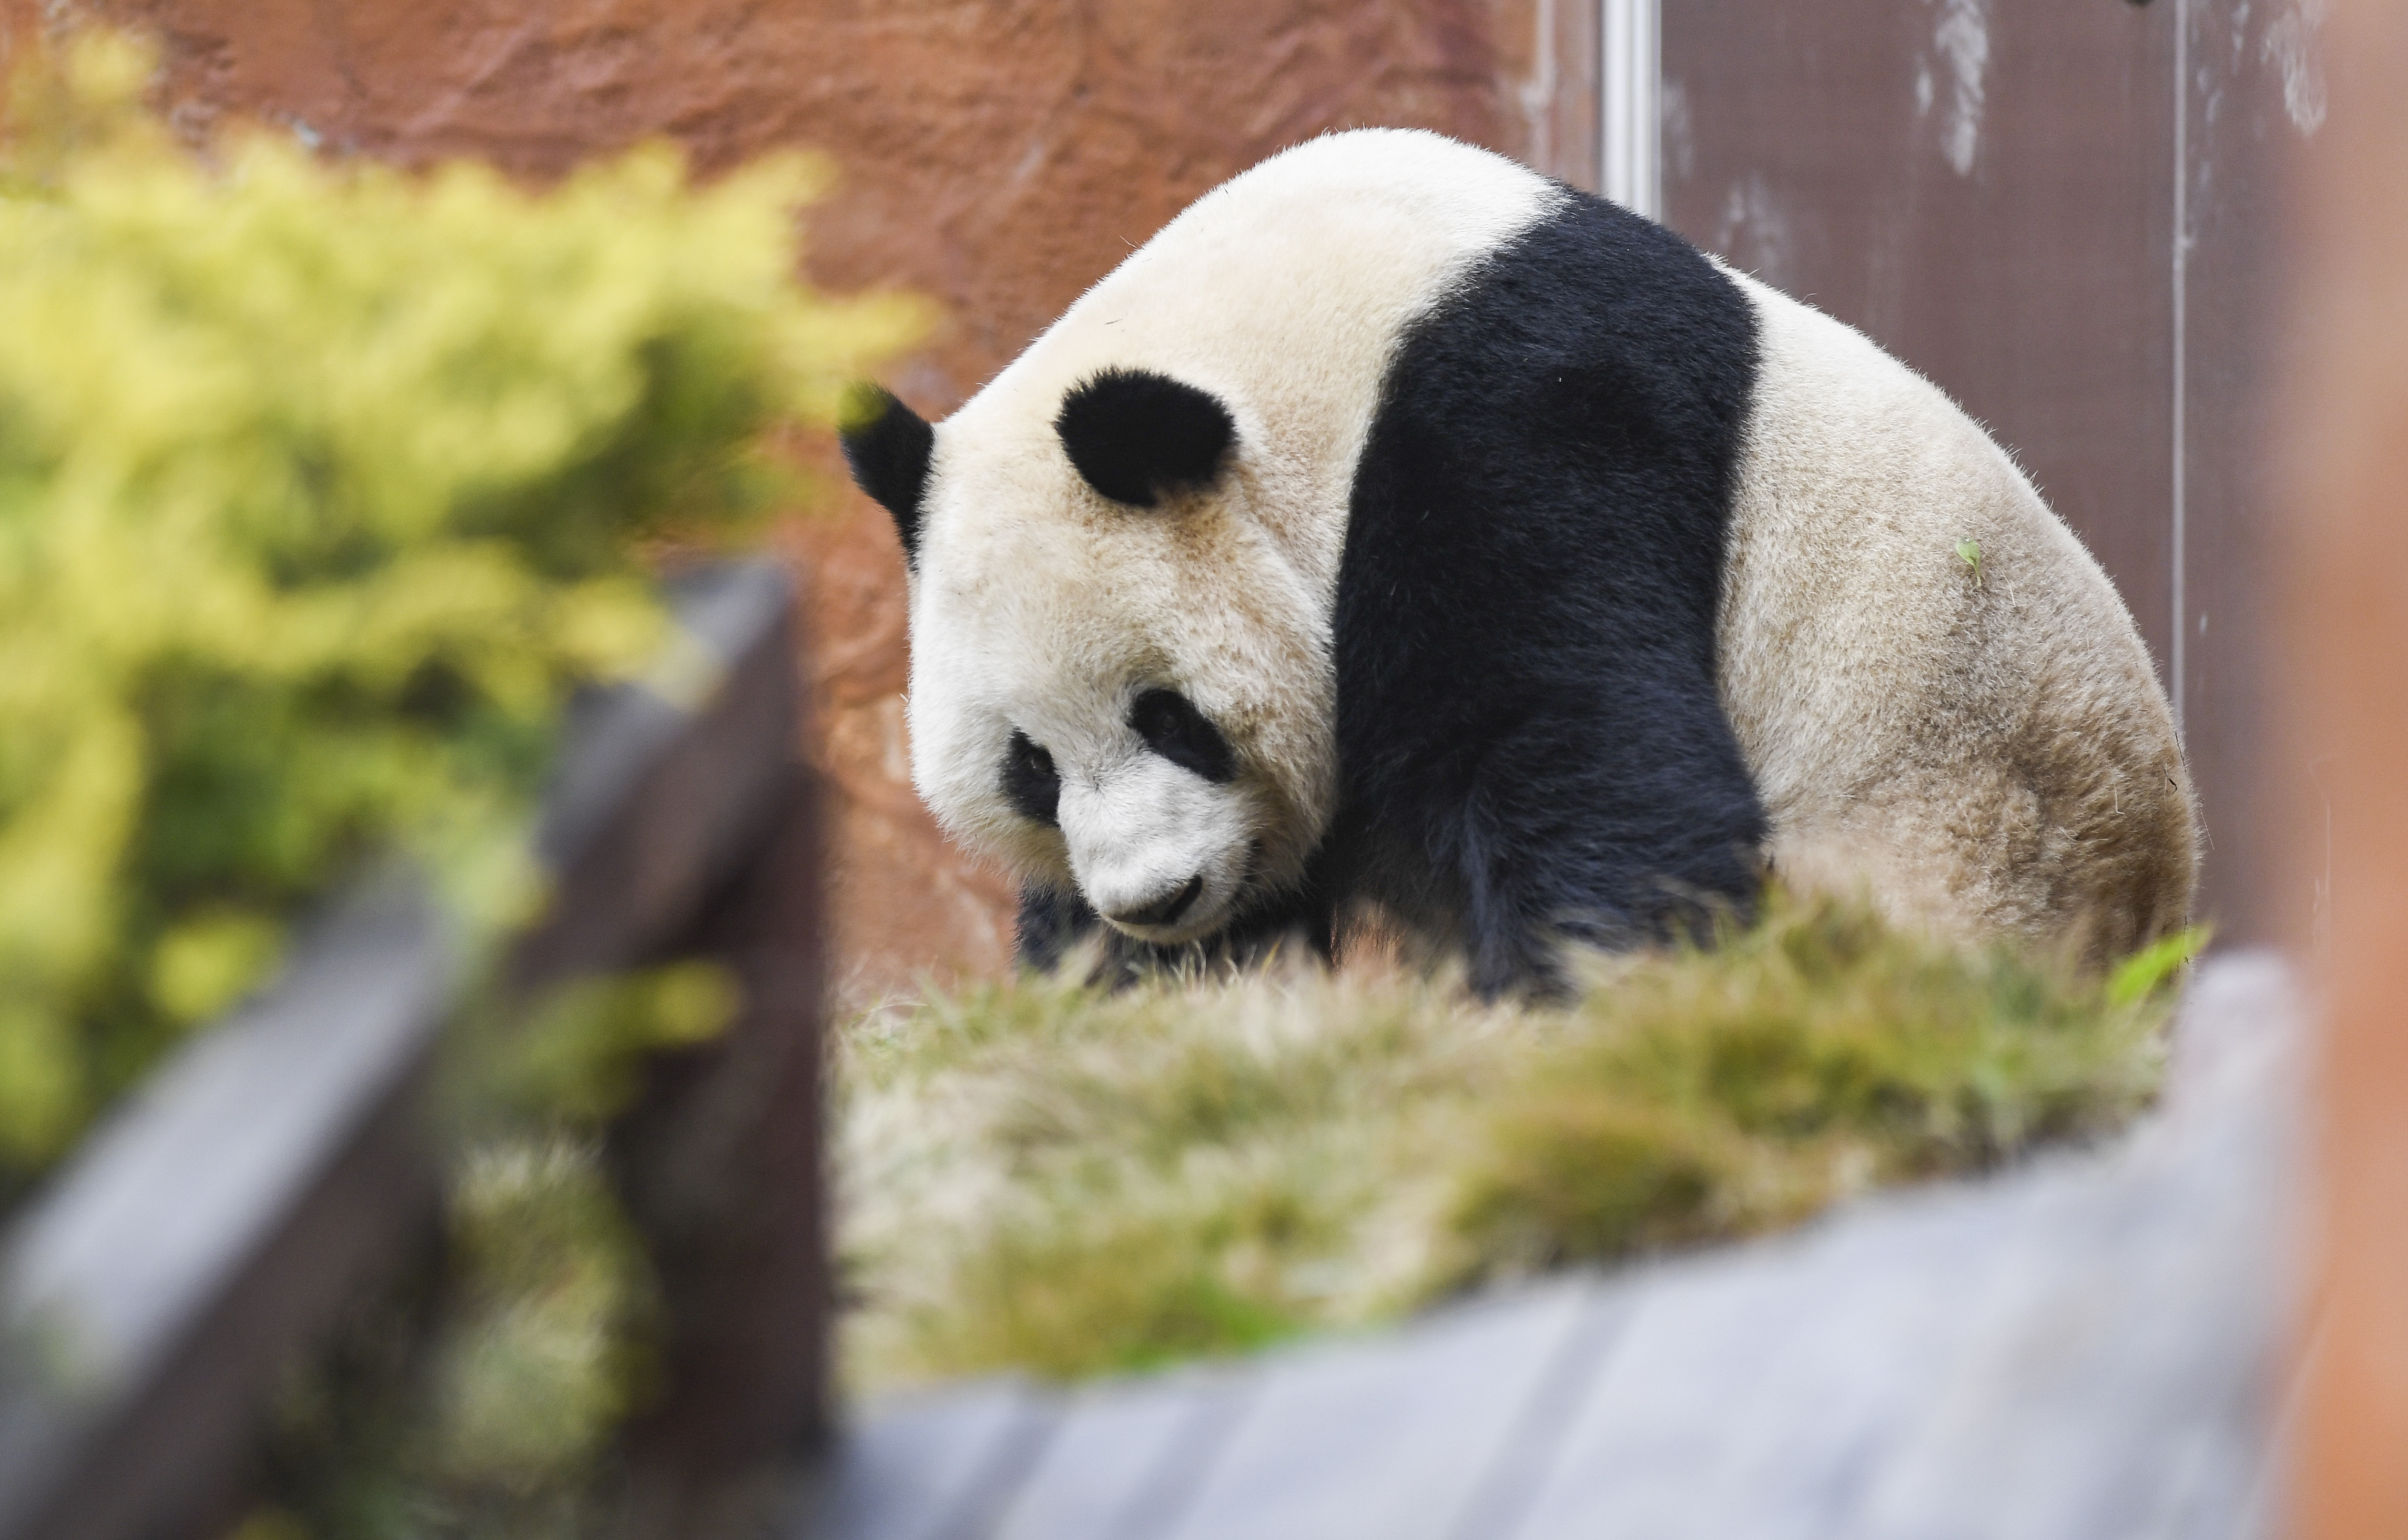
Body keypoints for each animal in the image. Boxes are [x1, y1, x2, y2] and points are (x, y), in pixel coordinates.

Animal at [847, 126, 2206, 992]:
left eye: (1171, 717)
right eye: (1029, 766)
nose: (1155, 901)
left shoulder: (1524, 421)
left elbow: (1569, 742)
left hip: (1968, 831)